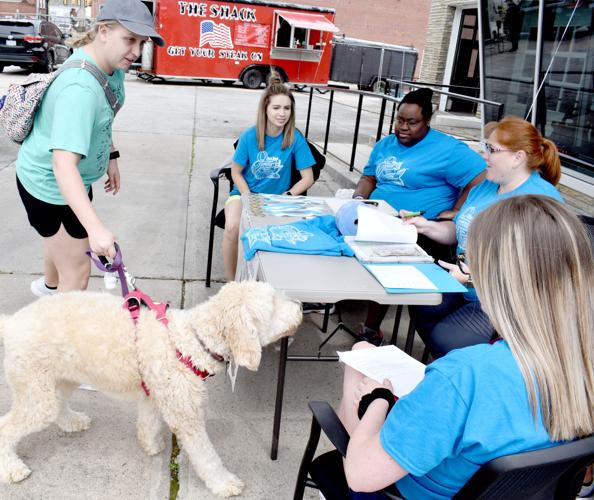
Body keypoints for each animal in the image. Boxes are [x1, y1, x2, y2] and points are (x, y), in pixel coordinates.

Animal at [0, 282, 298, 496]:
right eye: (273, 303)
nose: (299, 307)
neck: (193, 341)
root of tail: (11, 322)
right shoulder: (186, 415)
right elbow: (207, 456)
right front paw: (224, 483)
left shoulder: (155, 394)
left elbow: (148, 422)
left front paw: (151, 445)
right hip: (37, 394)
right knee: (6, 428)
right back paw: (12, 469)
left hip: (56, 381)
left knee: (59, 405)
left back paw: (72, 421)